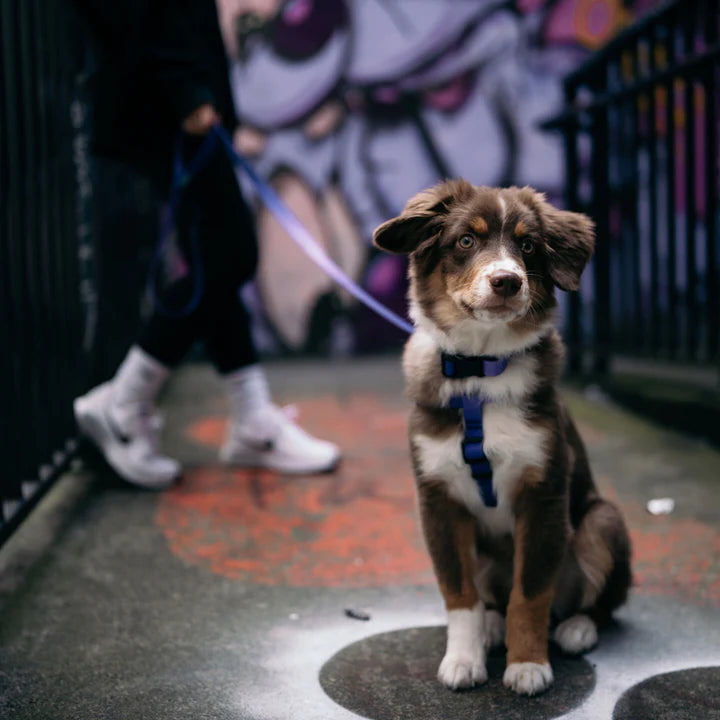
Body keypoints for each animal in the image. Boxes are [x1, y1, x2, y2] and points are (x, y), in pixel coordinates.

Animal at [372, 181, 632, 696]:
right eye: (465, 241)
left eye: (528, 246)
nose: (507, 281)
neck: (480, 372)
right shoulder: (438, 499)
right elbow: (459, 593)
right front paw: (463, 659)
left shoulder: (544, 494)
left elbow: (529, 594)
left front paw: (528, 666)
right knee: (490, 596)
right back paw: (492, 626)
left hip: (602, 519)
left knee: (593, 603)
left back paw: (577, 628)